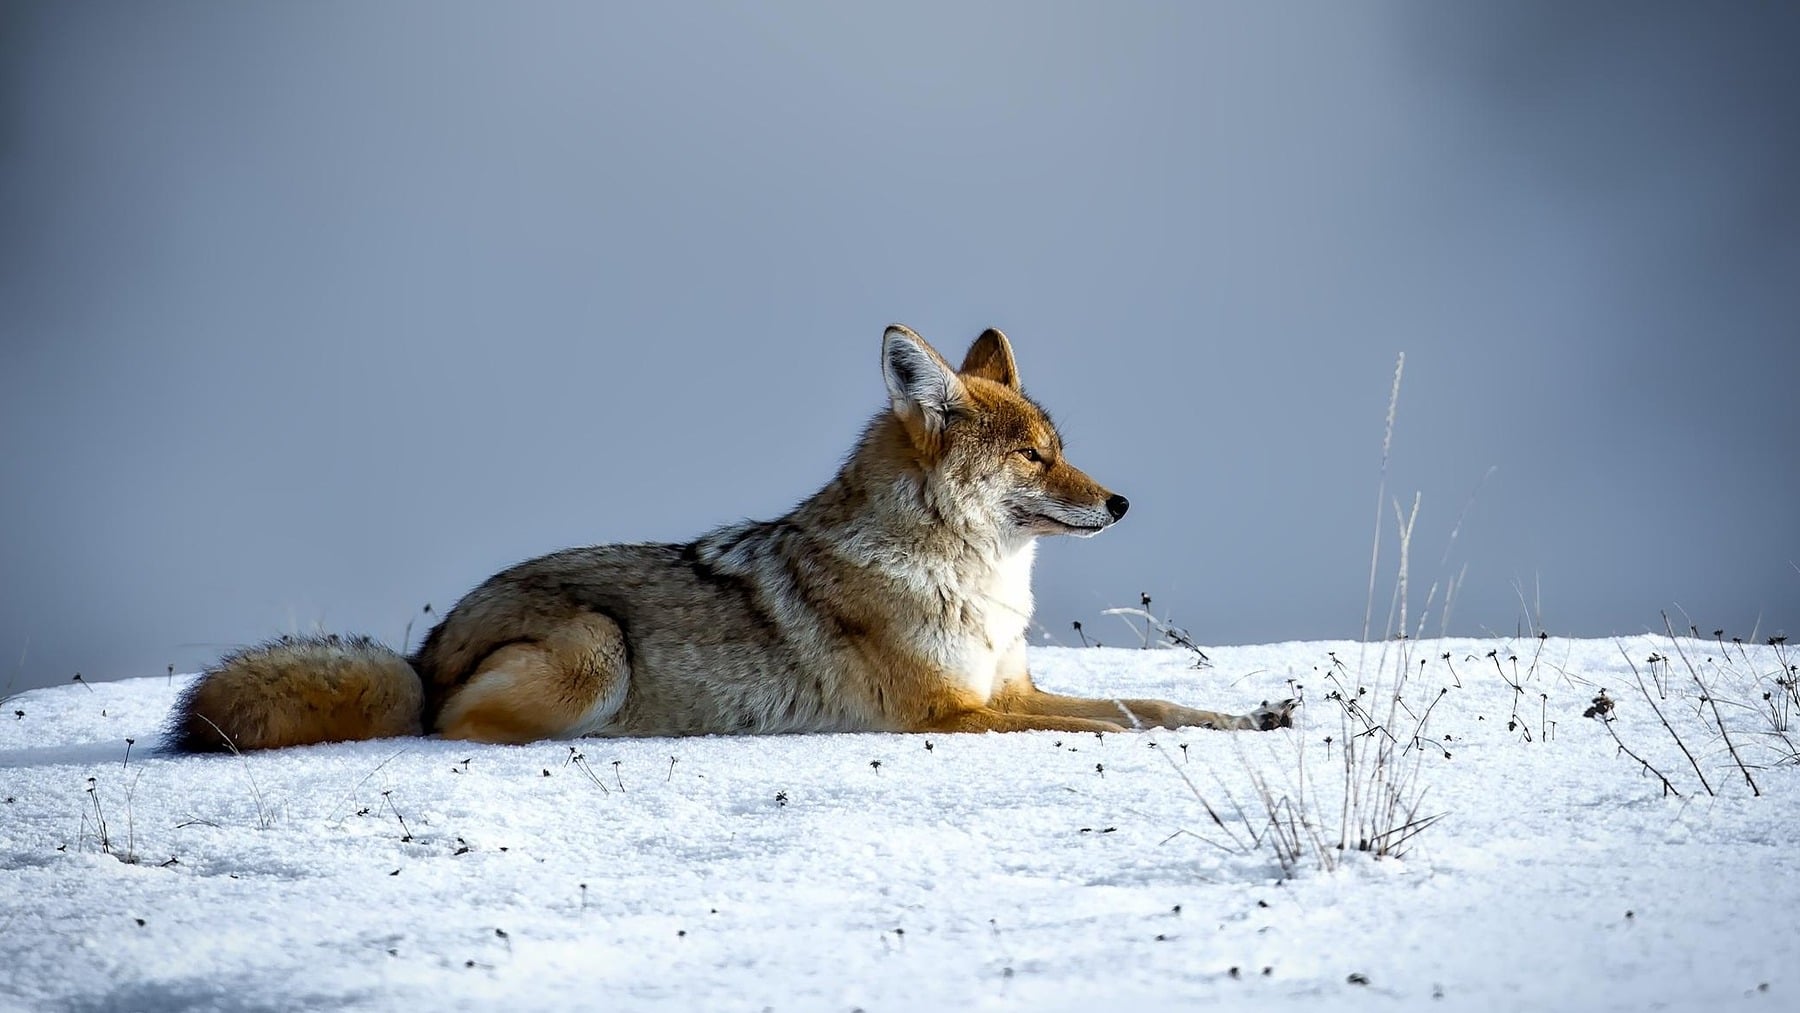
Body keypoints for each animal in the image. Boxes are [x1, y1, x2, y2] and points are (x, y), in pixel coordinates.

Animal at [171, 325, 1295, 750]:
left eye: (1062, 449)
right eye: (1032, 455)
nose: (1122, 502)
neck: (973, 583)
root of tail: (425, 647)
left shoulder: (1008, 690)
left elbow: (1152, 702)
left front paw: (1254, 716)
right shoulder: (954, 712)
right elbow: (1111, 725)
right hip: (596, 649)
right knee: (450, 729)